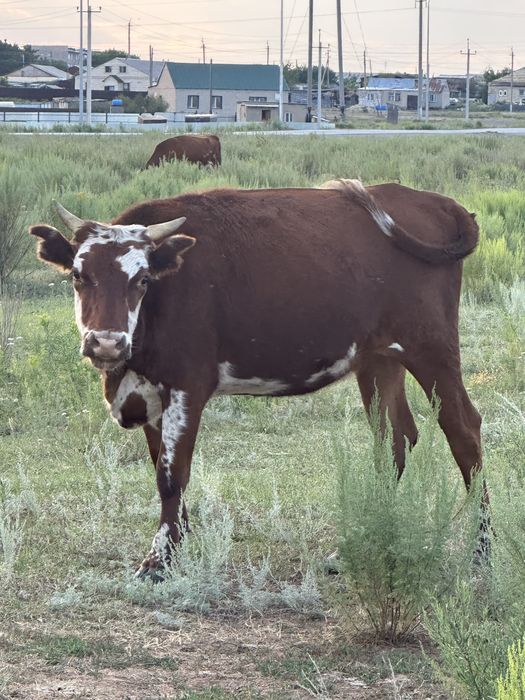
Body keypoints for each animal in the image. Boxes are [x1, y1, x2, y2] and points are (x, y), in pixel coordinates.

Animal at [30, 180, 481, 579]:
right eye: (78, 275)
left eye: (141, 280)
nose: (106, 342)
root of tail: (437, 201)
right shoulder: (151, 392)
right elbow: (163, 468)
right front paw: (178, 544)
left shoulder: (187, 386)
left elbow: (171, 475)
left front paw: (158, 562)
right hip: (379, 360)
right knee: (394, 439)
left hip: (431, 346)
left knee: (463, 429)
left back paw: (481, 551)